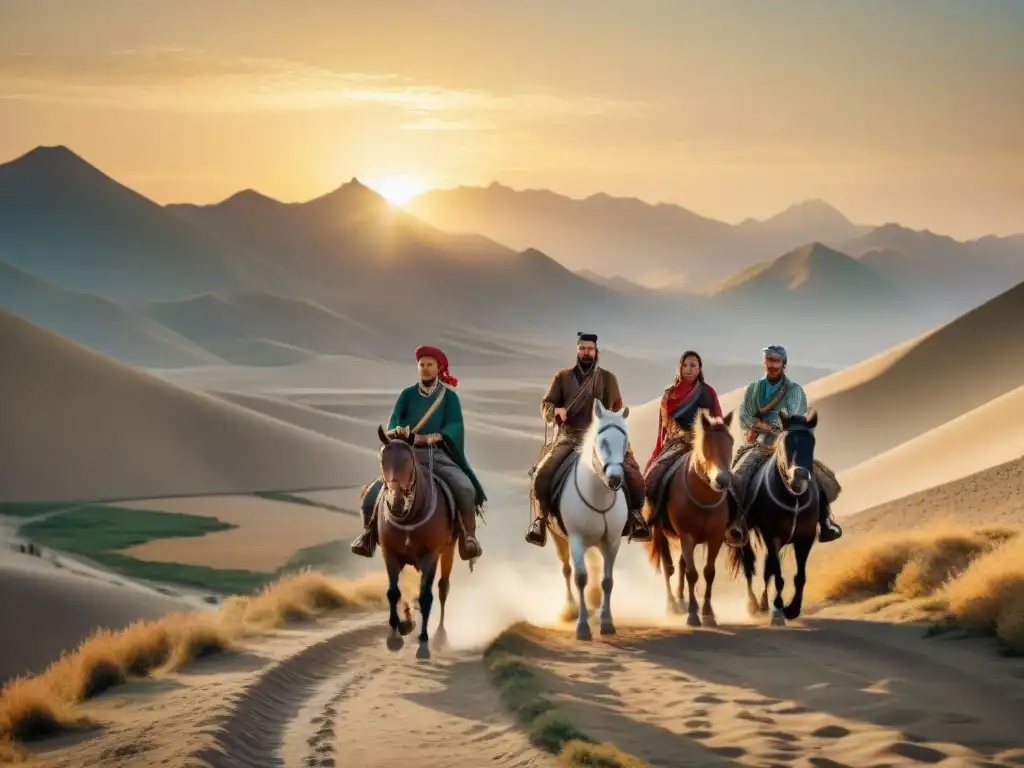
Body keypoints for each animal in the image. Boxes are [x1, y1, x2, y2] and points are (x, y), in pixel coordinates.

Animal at [374, 423, 458, 659]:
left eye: (409, 461)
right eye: (383, 460)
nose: (396, 503)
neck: (410, 516)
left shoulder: (431, 556)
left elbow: (426, 596)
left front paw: (423, 642)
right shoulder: (390, 553)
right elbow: (393, 592)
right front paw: (395, 635)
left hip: (449, 550)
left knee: (443, 588)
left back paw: (439, 636)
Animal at [552, 399, 630, 638]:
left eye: (625, 441)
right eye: (602, 441)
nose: (614, 479)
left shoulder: (612, 541)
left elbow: (607, 581)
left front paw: (607, 622)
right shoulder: (576, 540)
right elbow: (580, 578)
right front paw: (582, 626)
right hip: (558, 538)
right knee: (566, 570)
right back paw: (570, 609)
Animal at [643, 409, 733, 626]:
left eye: (730, 443)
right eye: (705, 447)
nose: (722, 480)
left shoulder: (716, 538)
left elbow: (709, 572)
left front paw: (708, 613)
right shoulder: (686, 536)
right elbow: (692, 574)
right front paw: (693, 614)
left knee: (682, 564)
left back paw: (681, 600)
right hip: (660, 532)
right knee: (668, 567)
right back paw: (673, 605)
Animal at [724, 411, 819, 626]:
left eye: (812, 442)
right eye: (785, 442)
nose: (799, 475)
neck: (793, 498)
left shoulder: (805, 538)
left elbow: (799, 576)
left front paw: (792, 609)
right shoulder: (772, 537)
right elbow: (778, 576)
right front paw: (779, 611)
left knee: (766, 569)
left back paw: (763, 605)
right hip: (742, 534)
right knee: (749, 566)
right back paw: (753, 606)